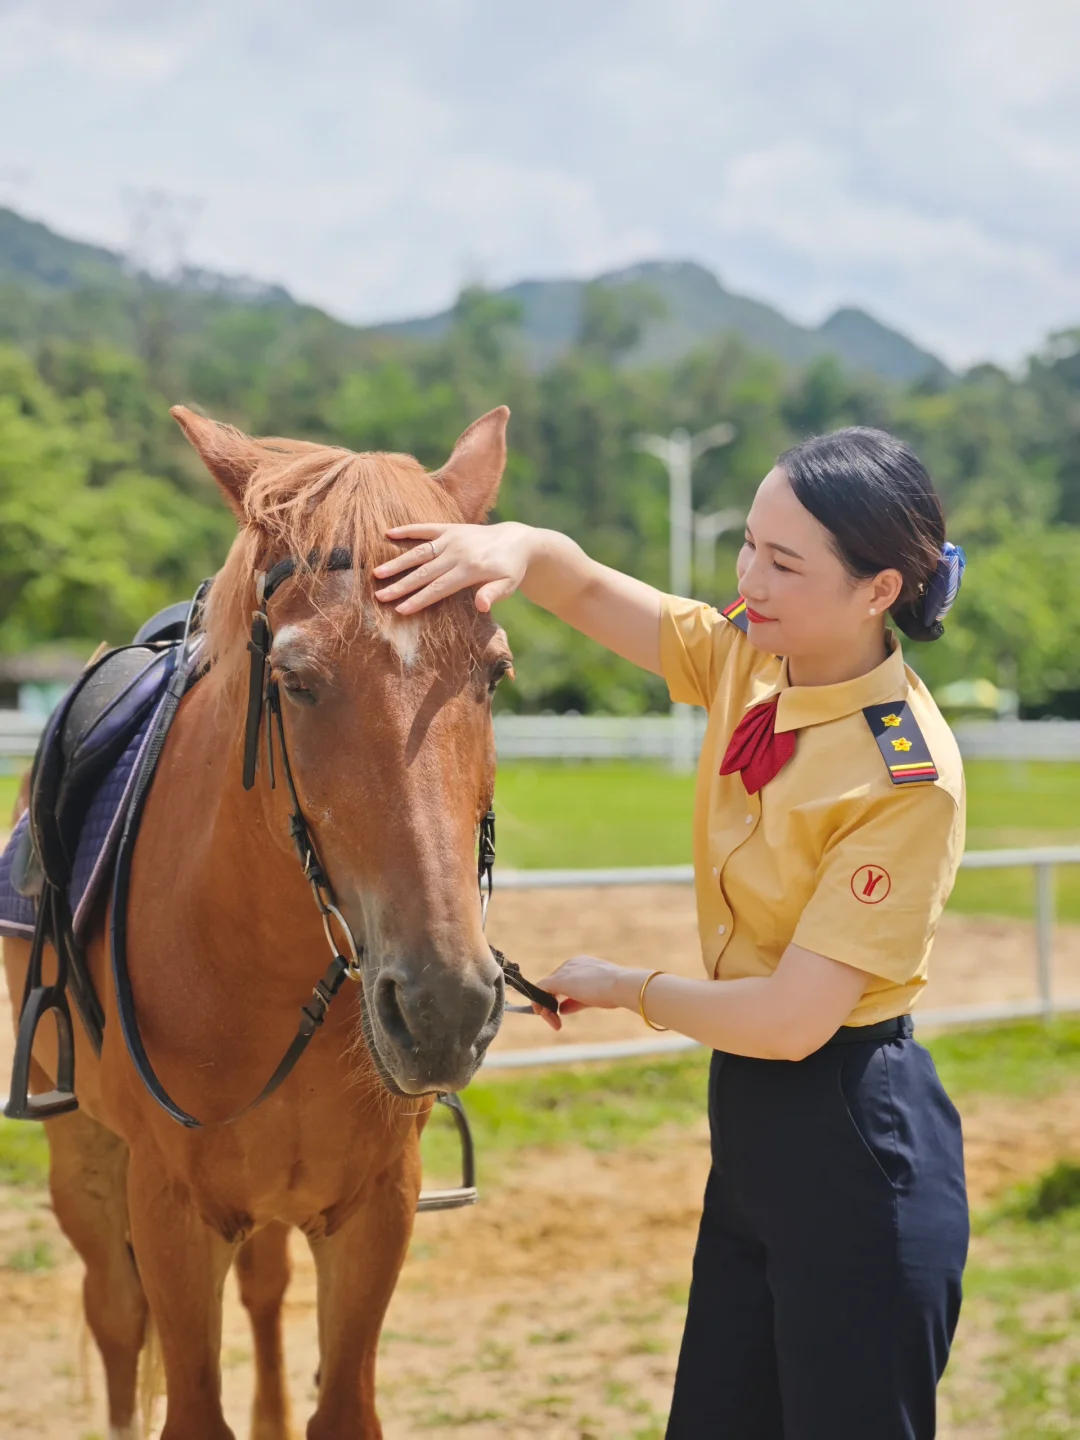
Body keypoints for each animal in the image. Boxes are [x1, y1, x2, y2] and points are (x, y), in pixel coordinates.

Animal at [1, 400, 515, 1434]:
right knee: (115, 1319)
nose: (443, 1009)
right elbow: (188, 1399)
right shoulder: (172, 1212)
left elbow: (339, 1403)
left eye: (494, 673)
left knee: (266, 1290)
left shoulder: (377, 1205)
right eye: (296, 681)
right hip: (83, 1158)